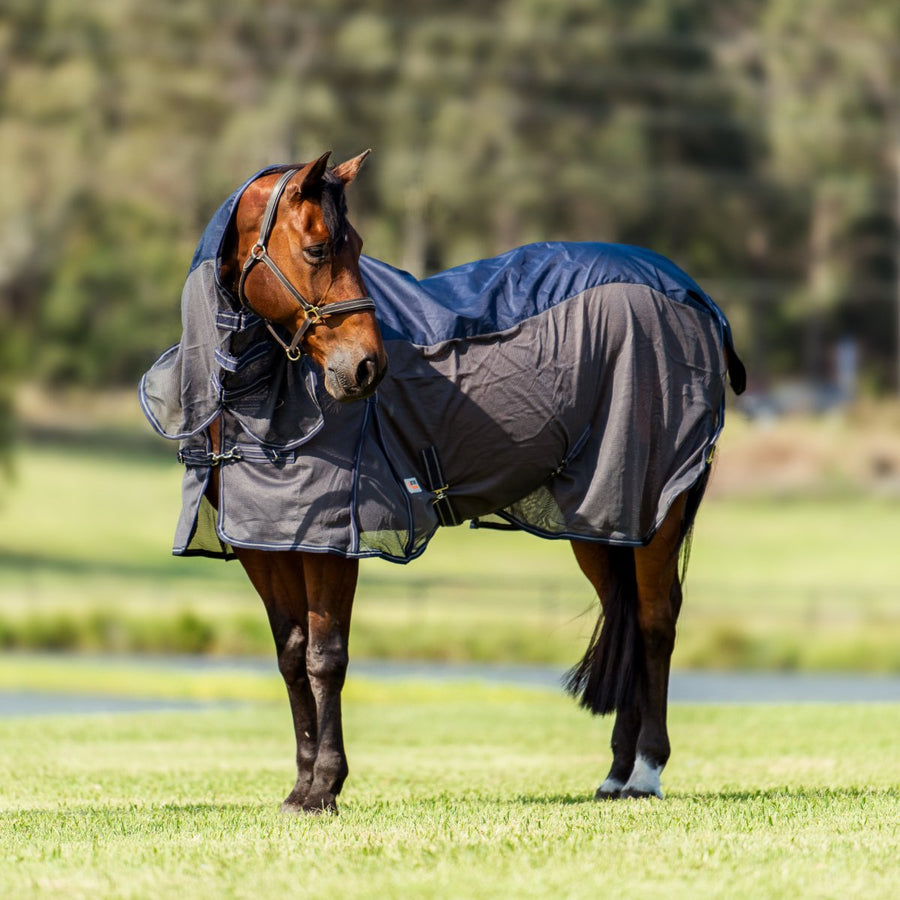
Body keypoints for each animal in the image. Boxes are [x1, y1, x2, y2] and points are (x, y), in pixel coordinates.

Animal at [140, 151, 745, 814]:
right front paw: (300, 788)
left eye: (357, 246)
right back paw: (615, 774)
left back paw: (645, 772)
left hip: (656, 506)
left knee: (657, 621)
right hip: (604, 518)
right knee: (628, 615)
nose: (366, 368)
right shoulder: (265, 544)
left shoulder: (332, 542)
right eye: (320, 248)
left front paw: (326, 785)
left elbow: (327, 658)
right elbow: (292, 657)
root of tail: (696, 298)